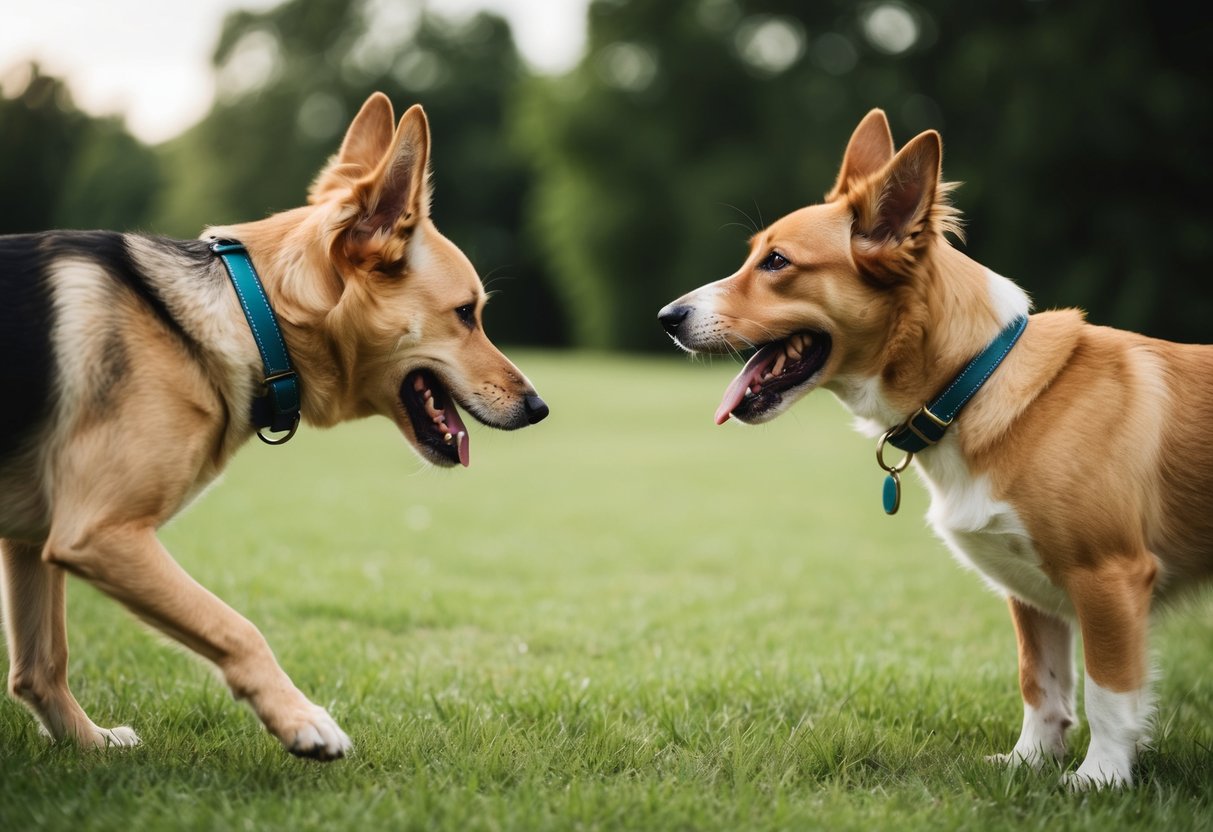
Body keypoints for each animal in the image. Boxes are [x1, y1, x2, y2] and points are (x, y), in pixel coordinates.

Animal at [0, 92, 548, 761]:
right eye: (466, 314)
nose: (540, 406)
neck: (246, 312)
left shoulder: (34, 538)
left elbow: (40, 666)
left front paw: (89, 744)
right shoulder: (97, 531)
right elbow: (235, 626)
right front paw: (301, 720)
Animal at [664, 109, 1213, 790]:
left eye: (777, 262)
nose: (666, 317)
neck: (973, 383)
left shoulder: (1109, 576)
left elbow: (1110, 694)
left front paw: (1098, 780)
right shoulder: (1030, 593)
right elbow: (1041, 684)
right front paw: (1028, 764)